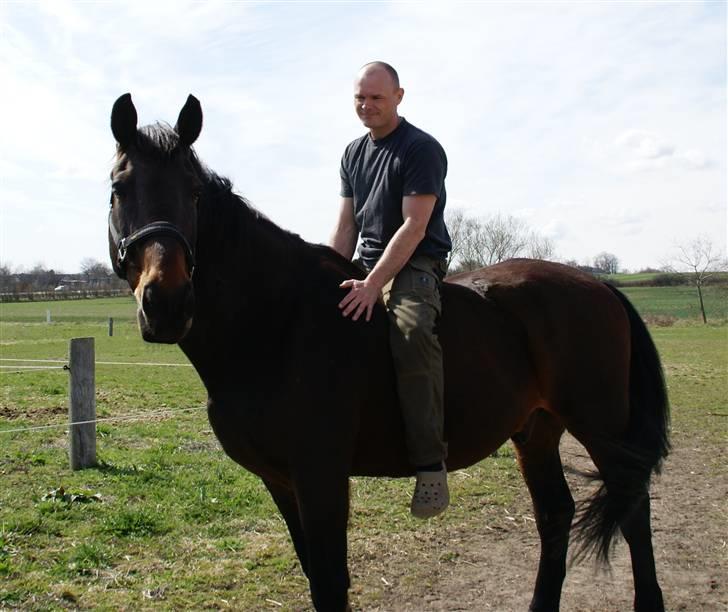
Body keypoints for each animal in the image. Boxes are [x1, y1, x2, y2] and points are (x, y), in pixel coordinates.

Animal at [108, 92, 672, 612]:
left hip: (601, 425)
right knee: (556, 514)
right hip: (536, 430)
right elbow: (315, 576)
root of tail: (597, 285)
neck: (277, 322)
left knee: (633, 510)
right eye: (118, 189)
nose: (166, 303)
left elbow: (330, 583)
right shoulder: (280, 481)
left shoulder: (321, 477)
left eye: (194, 193)